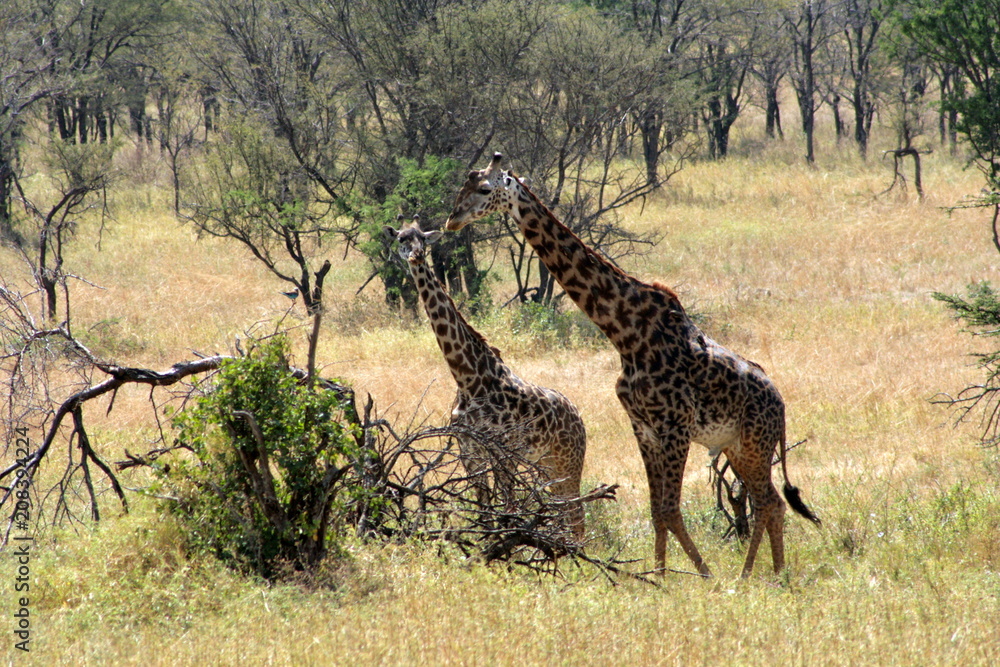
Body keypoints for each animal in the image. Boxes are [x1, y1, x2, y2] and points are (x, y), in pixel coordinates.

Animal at [383, 216, 588, 541]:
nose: (415, 256)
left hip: (568, 463)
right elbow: (485, 515)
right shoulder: (470, 452)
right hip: (546, 465)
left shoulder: (503, 453)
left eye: (423, 239)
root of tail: (580, 419)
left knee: (577, 517)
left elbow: (509, 511)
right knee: (563, 515)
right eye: (402, 238)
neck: (467, 378)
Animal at [445, 154, 820, 578]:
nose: (452, 221)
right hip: (737, 446)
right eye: (463, 185)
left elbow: (670, 510)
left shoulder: (674, 425)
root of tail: (782, 407)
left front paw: (701, 574)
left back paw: (760, 576)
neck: (625, 333)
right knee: (770, 500)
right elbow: (658, 512)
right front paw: (660, 576)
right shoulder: (643, 427)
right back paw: (764, 574)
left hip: (755, 443)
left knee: (769, 501)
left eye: (484, 189)